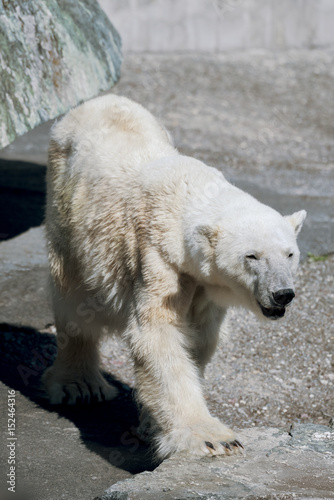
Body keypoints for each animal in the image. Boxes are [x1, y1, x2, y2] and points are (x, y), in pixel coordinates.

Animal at [43, 93, 306, 458]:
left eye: (289, 254)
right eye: (251, 256)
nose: (283, 293)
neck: (188, 193)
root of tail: (97, 101)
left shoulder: (203, 284)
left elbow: (199, 337)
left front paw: (151, 424)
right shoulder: (158, 258)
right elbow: (159, 333)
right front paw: (214, 438)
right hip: (68, 214)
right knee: (73, 300)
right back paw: (78, 385)